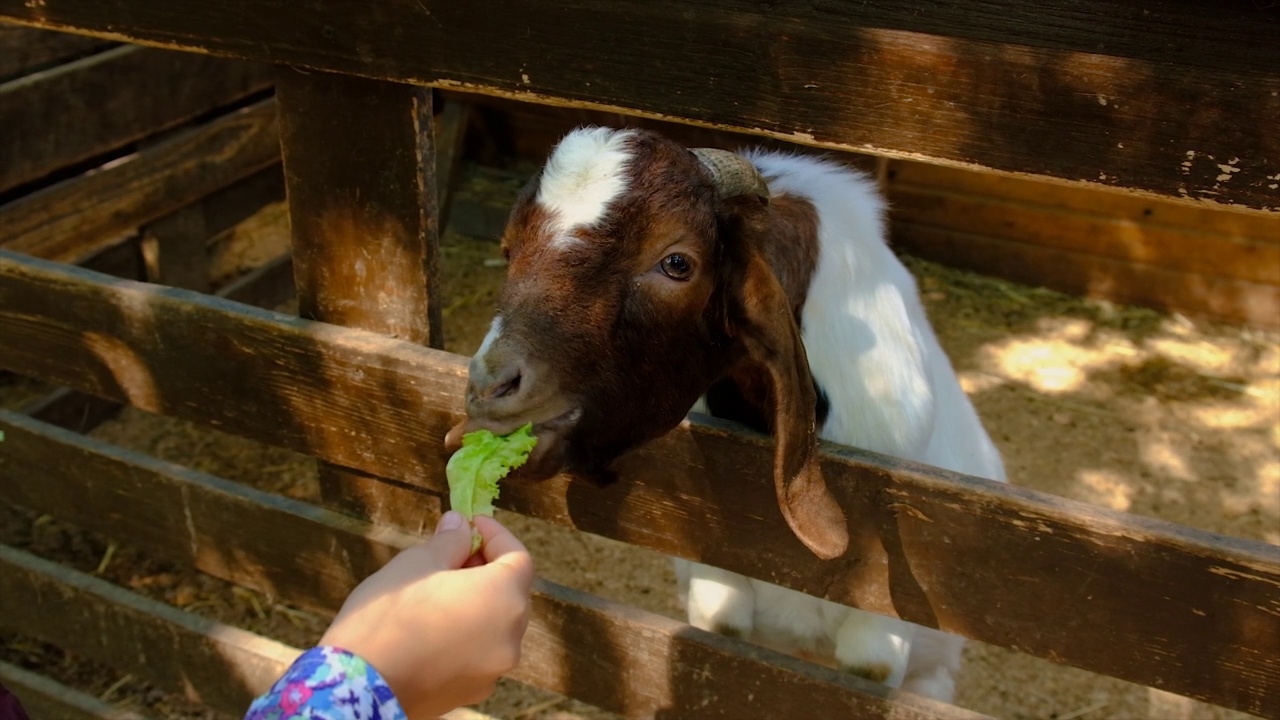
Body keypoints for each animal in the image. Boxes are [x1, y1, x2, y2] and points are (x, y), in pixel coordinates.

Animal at [450, 126, 1008, 696]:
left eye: (677, 262)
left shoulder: (885, 613)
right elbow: (723, 624)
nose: (490, 389)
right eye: (509, 249)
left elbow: (868, 664)